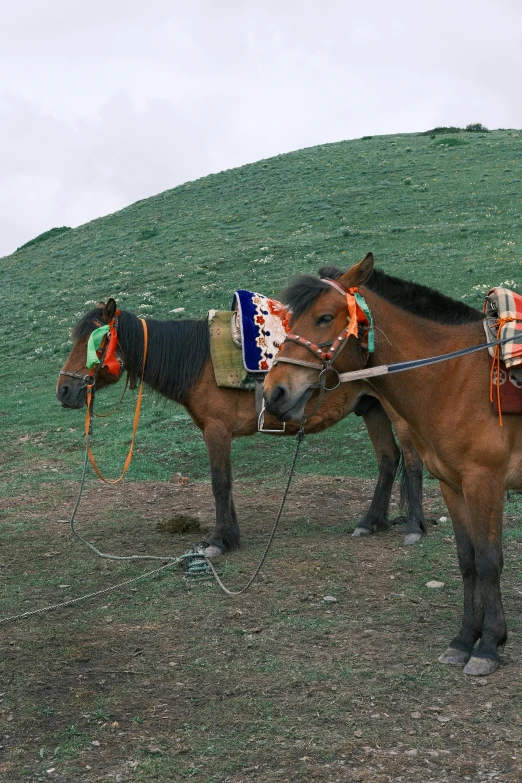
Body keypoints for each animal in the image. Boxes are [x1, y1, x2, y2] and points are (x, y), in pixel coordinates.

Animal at [55, 288, 422, 556]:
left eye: (98, 340)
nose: (64, 390)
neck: (199, 361)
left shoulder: (216, 430)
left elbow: (219, 483)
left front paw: (218, 542)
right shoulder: (219, 433)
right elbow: (227, 484)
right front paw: (230, 536)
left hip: (398, 413)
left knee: (412, 462)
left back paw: (414, 528)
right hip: (372, 408)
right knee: (388, 459)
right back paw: (371, 522)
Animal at [264, 254, 520, 676]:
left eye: (324, 317)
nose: (274, 393)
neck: (453, 377)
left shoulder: (485, 481)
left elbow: (488, 561)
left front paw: (489, 645)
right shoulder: (452, 484)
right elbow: (466, 560)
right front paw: (464, 639)